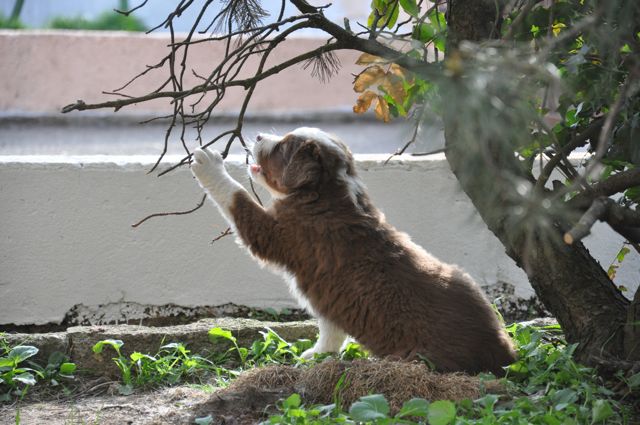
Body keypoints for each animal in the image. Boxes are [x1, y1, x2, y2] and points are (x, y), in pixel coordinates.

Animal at [192, 126, 516, 374]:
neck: (325, 192)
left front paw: (209, 164)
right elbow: (331, 328)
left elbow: (237, 197)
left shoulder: (278, 234)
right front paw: (318, 355)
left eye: (282, 147)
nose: (258, 135)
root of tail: (502, 351)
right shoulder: (333, 295)